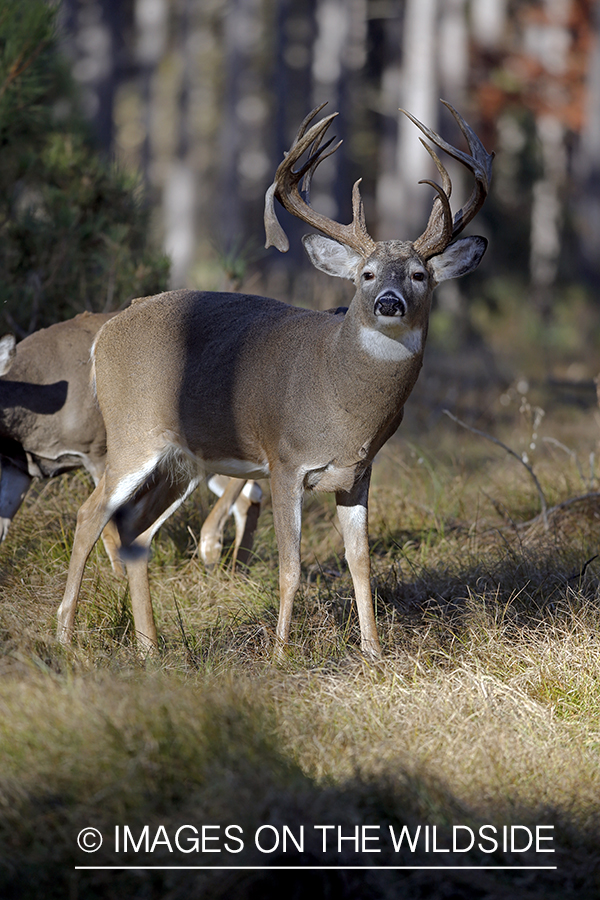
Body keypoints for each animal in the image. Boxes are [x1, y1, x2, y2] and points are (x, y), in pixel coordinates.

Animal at [58, 103, 494, 652]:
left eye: (419, 274)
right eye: (367, 274)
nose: (389, 303)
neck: (342, 397)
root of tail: (107, 332)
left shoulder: (359, 472)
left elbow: (361, 562)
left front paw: (374, 651)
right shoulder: (286, 460)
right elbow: (290, 566)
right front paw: (283, 650)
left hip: (180, 461)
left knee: (137, 531)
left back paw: (150, 645)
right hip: (132, 434)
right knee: (90, 514)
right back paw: (64, 635)